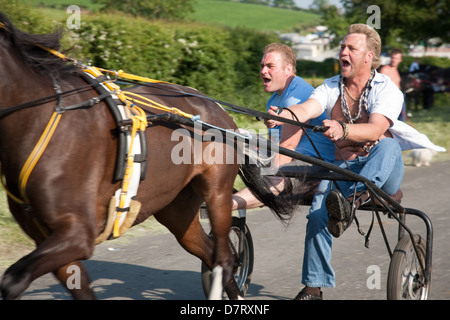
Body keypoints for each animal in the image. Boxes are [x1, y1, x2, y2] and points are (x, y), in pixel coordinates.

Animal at [0, 13, 246, 300]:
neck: (40, 117)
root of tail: (214, 106)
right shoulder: (50, 239)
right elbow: (80, 287)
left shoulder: (77, 234)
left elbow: (13, 279)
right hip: (177, 206)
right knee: (209, 252)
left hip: (217, 192)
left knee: (225, 259)